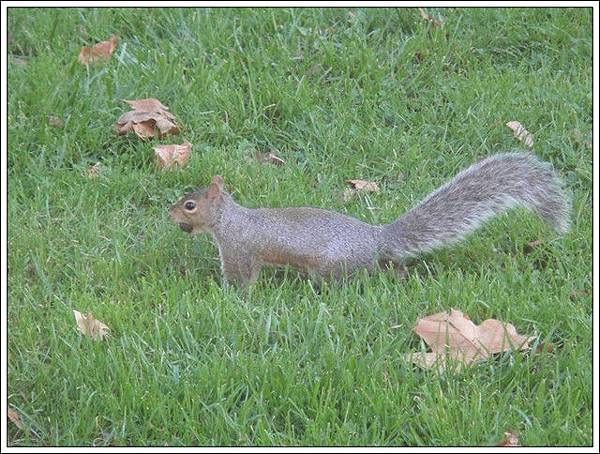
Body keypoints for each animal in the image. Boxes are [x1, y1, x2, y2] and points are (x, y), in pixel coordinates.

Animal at [168, 153, 568, 288]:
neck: (230, 220)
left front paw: (228, 296)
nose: (169, 213)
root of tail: (377, 238)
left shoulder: (239, 250)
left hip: (330, 267)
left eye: (189, 205)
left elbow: (241, 279)